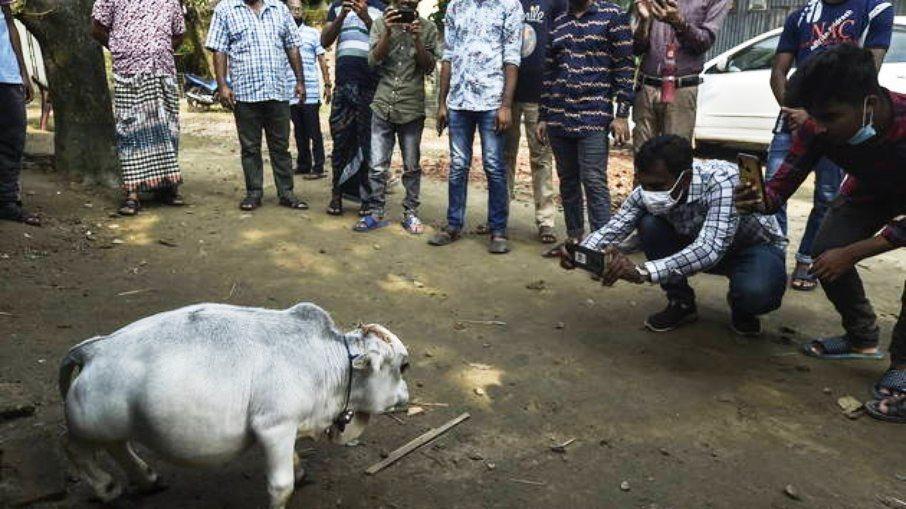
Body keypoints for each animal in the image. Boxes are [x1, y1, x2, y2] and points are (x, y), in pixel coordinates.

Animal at [57, 304, 410, 506]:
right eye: (404, 366)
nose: (407, 397)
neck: (331, 361)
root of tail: (92, 350)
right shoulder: (274, 426)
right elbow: (281, 486)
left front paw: (300, 469)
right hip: (90, 426)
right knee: (73, 447)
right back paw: (105, 487)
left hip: (115, 424)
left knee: (117, 446)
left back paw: (147, 478)